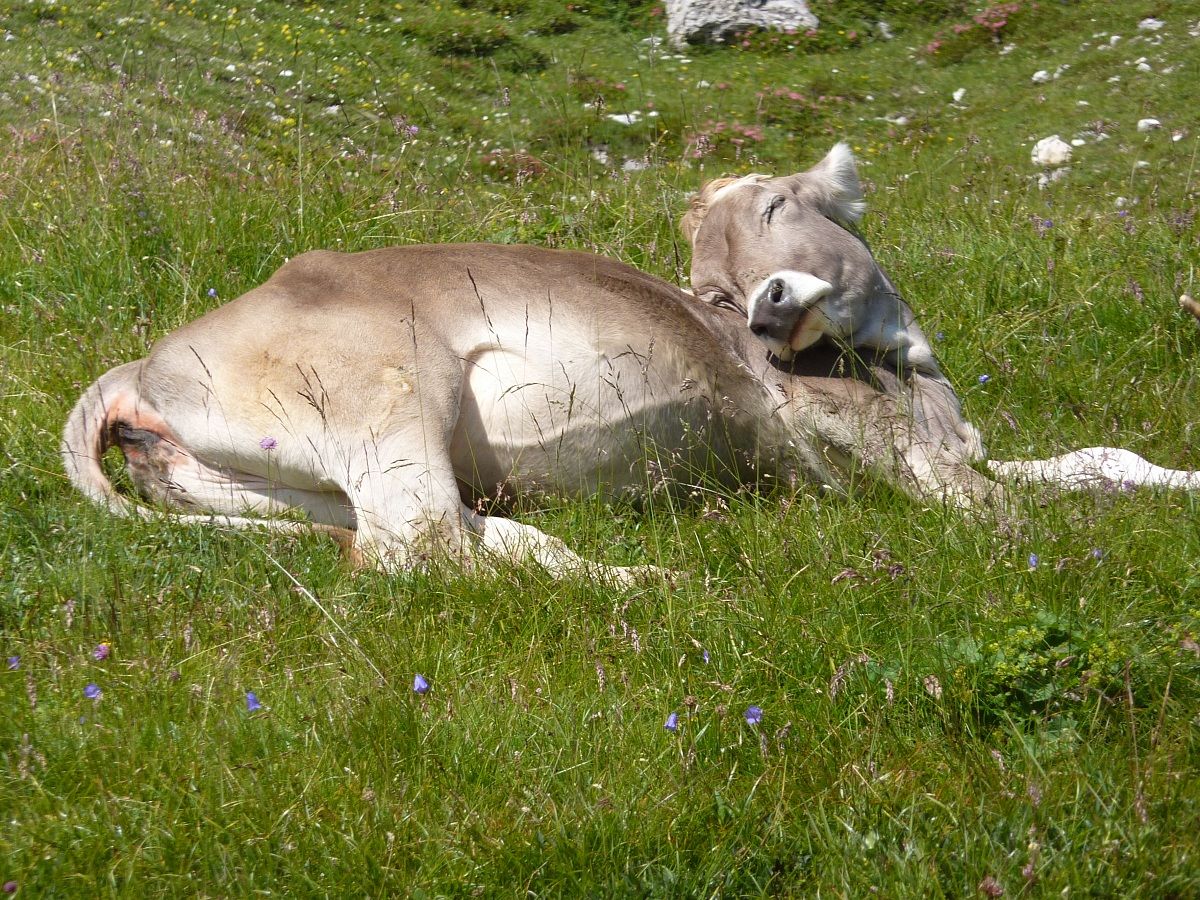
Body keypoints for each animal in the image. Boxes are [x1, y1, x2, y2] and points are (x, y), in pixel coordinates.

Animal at [61, 146, 1200, 582]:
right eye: (710, 290)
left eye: (780, 206)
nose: (766, 303)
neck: (913, 376)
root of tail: (139, 363)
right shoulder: (869, 455)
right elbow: (1008, 517)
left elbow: (1099, 461)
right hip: (385, 386)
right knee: (416, 549)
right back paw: (658, 589)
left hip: (282, 488)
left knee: (483, 540)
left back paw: (648, 578)